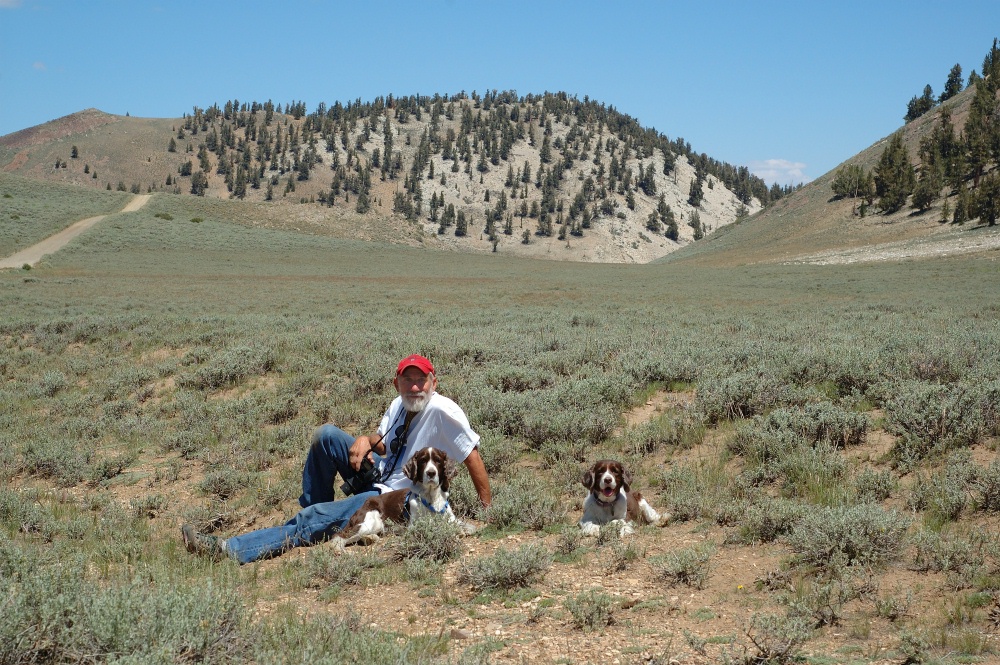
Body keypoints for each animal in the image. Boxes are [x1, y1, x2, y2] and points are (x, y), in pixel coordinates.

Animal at [330, 446, 466, 548]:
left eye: (438, 460)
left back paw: (370, 538)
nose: (431, 473)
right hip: (369, 521)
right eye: (423, 461)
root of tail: (363, 505)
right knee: (340, 536)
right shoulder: (414, 525)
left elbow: (457, 525)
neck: (431, 496)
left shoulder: (450, 517)